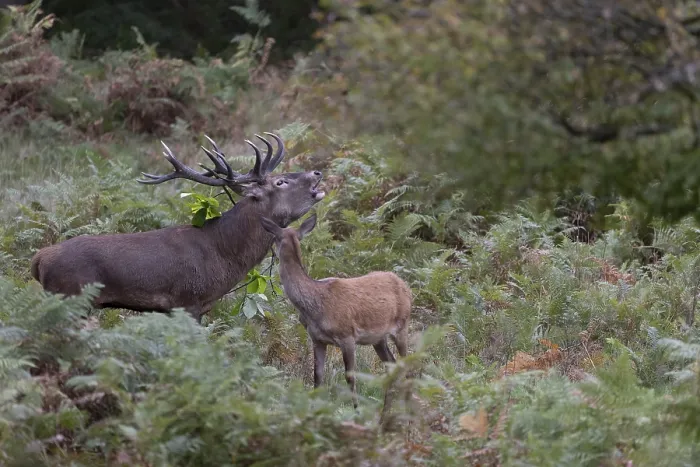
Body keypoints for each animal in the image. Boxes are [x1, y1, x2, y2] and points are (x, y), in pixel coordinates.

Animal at [30, 132, 326, 323]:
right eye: (280, 182)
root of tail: (38, 259)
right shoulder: (188, 300)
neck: (224, 256)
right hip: (70, 297)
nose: (317, 172)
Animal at [259, 214, 412, 408]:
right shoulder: (317, 339)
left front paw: (356, 409)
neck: (315, 305)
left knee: (407, 366)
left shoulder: (347, 336)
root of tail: (405, 286)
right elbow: (317, 377)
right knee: (391, 365)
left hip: (402, 324)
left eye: (274, 238)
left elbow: (350, 378)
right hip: (378, 338)